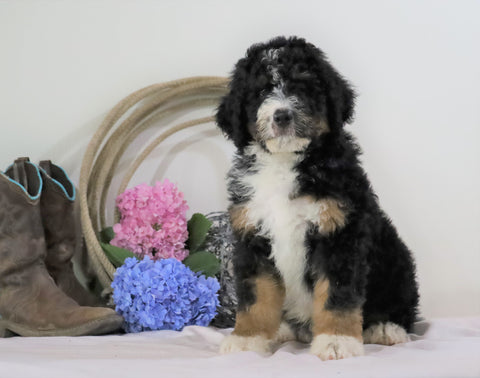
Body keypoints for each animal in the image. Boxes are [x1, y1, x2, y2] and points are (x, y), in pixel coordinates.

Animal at [216, 36, 418, 360]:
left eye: (303, 87)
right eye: (260, 92)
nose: (282, 115)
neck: (286, 162)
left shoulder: (340, 234)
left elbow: (337, 295)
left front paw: (337, 340)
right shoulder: (252, 237)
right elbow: (255, 296)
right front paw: (247, 339)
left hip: (397, 264)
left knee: (401, 307)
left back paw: (385, 328)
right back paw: (283, 329)